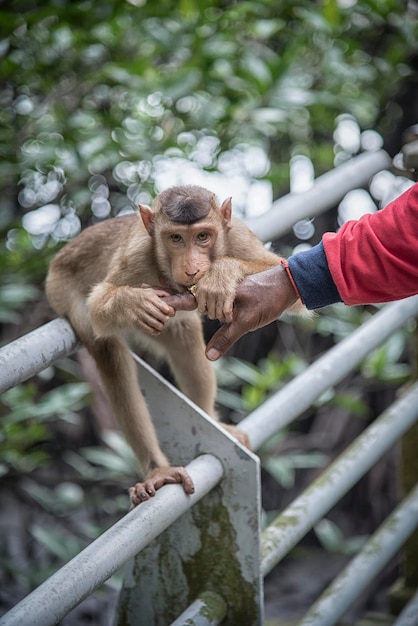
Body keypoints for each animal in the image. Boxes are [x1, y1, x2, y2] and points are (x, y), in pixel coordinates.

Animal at [46, 183, 304, 504]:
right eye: (176, 238)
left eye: (203, 236)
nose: (192, 268)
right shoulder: (136, 255)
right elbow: (98, 303)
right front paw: (134, 303)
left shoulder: (238, 237)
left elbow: (286, 284)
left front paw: (221, 275)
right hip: (59, 286)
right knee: (106, 349)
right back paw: (157, 470)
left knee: (185, 336)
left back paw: (209, 420)